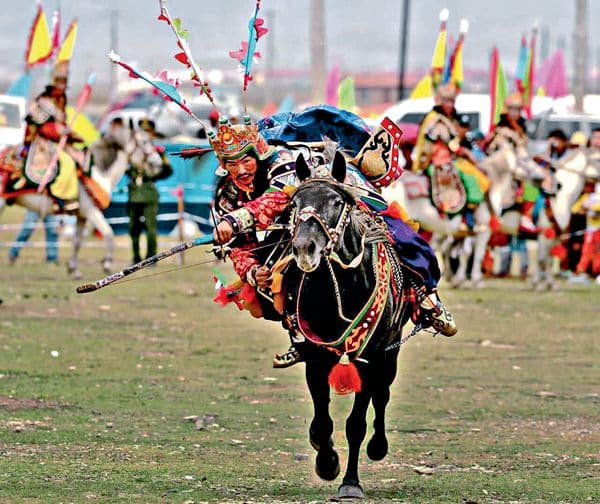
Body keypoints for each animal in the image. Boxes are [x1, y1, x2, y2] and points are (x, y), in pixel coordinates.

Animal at [284, 154, 414, 500]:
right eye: (295, 203)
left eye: (336, 202)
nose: (305, 249)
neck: (345, 285)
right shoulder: (316, 355)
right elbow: (321, 423)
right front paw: (326, 462)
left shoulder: (369, 357)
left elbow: (356, 424)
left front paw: (351, 483)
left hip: (390, 353)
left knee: (383, 394)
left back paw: (379, 446)